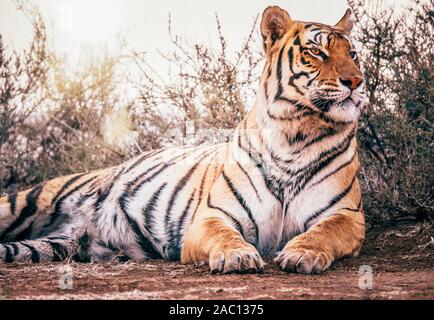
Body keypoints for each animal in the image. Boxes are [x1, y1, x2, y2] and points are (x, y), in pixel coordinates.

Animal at [0, 6, 366, 274]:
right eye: (316, 52)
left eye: (353, 54)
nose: (357, 81)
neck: (297, 132)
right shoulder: (210, 217)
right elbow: (224, 235)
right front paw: (237, 256)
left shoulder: (347, 215)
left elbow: (324, 231)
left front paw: (302, 253)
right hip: (31, 200)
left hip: (50, 246)